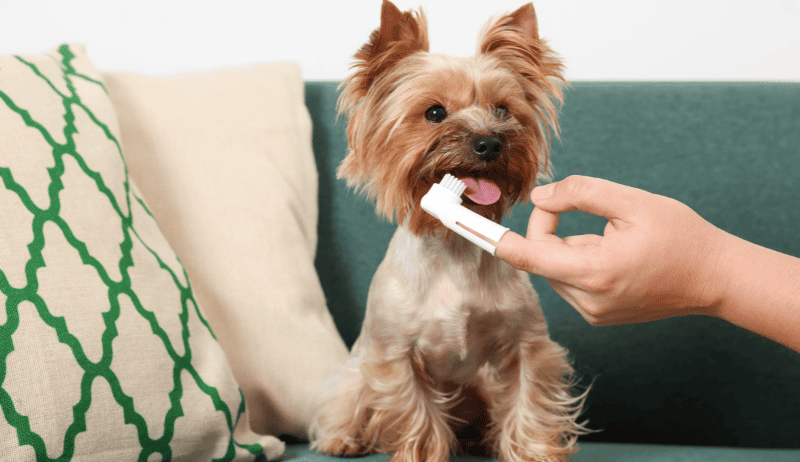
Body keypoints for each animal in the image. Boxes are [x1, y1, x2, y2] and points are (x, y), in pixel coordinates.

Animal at [310, 1, 592, 460]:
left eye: (503, 110)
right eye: (434, 113)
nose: (490, 142)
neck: (454, 243)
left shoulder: (526, 345)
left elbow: (528, 399)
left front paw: (534, 451)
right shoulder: (395, 356)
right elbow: (416, 412)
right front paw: (422, 452)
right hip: (355, 373)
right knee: (347, 403)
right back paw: (344, 439)